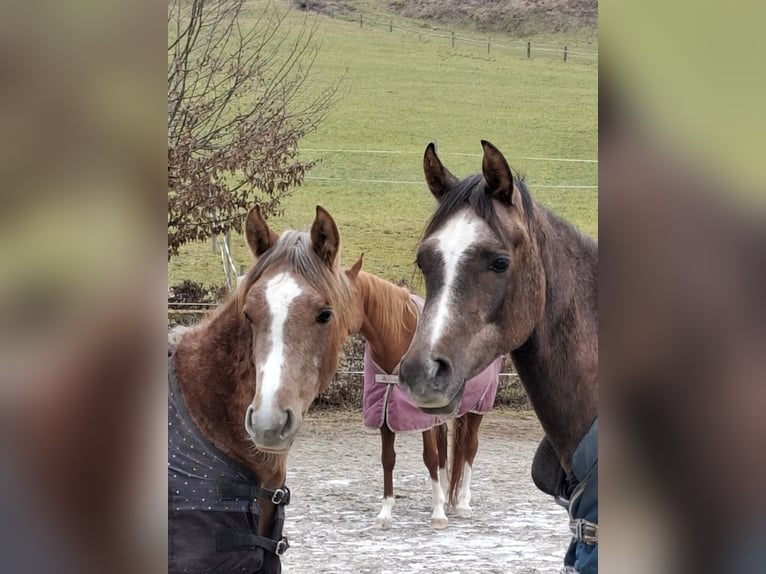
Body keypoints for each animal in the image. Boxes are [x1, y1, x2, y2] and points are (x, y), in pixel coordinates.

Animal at [345, 258, 502, 529]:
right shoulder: (385, 415)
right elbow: (389, 459)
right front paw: (386, 512)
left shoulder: (422, 419)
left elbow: (429, 457)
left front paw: (438, 514)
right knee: (445, 452)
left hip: (477, 407)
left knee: (470, 448)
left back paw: (462, 503)